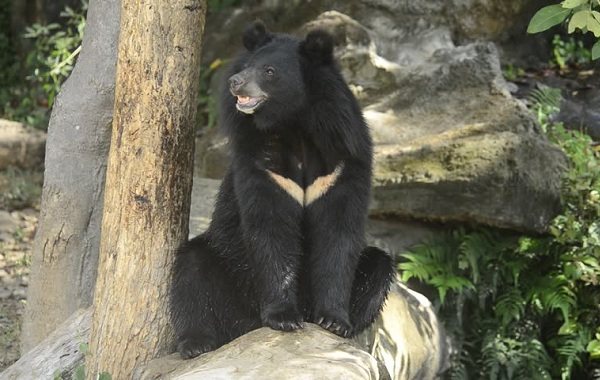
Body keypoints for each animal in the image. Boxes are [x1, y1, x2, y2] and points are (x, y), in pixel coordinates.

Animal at [170, 20, 394, 360]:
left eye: (270, 71)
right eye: (246, 67)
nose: (235, 83)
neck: (294, 126)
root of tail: (245, 324)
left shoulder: (342, 162)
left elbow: (338, 234)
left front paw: (334, 321)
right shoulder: (261, 162)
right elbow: (271, 227)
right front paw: (284, 318)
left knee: (380, 266)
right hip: (227, 270)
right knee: (191, 270)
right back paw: (197, 342)